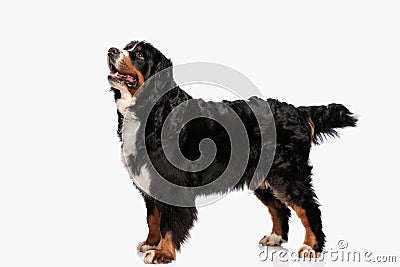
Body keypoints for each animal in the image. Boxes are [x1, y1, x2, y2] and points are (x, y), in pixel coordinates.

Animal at [105, 40, 356, 264]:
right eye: (126, 47)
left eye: (139, 55)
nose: (111, 50)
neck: (152, 109)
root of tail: (297, 110)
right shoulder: (149, 181)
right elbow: (153, 218)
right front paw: (150, 243)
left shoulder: (172, 183)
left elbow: (168, 223)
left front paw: (162, 253)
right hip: (263, 177)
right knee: (280, 209)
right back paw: (275, 238)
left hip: (287, 174)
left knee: (308, 208)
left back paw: (311, 247)